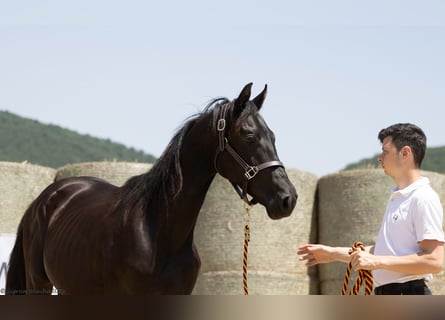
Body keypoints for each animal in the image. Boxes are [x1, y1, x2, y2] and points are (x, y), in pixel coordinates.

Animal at [5, 83, 296, 296]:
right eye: (249, 136)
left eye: (272, 136)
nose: (288, 198)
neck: (158, 230)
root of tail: (43, 200)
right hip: (39, 285)